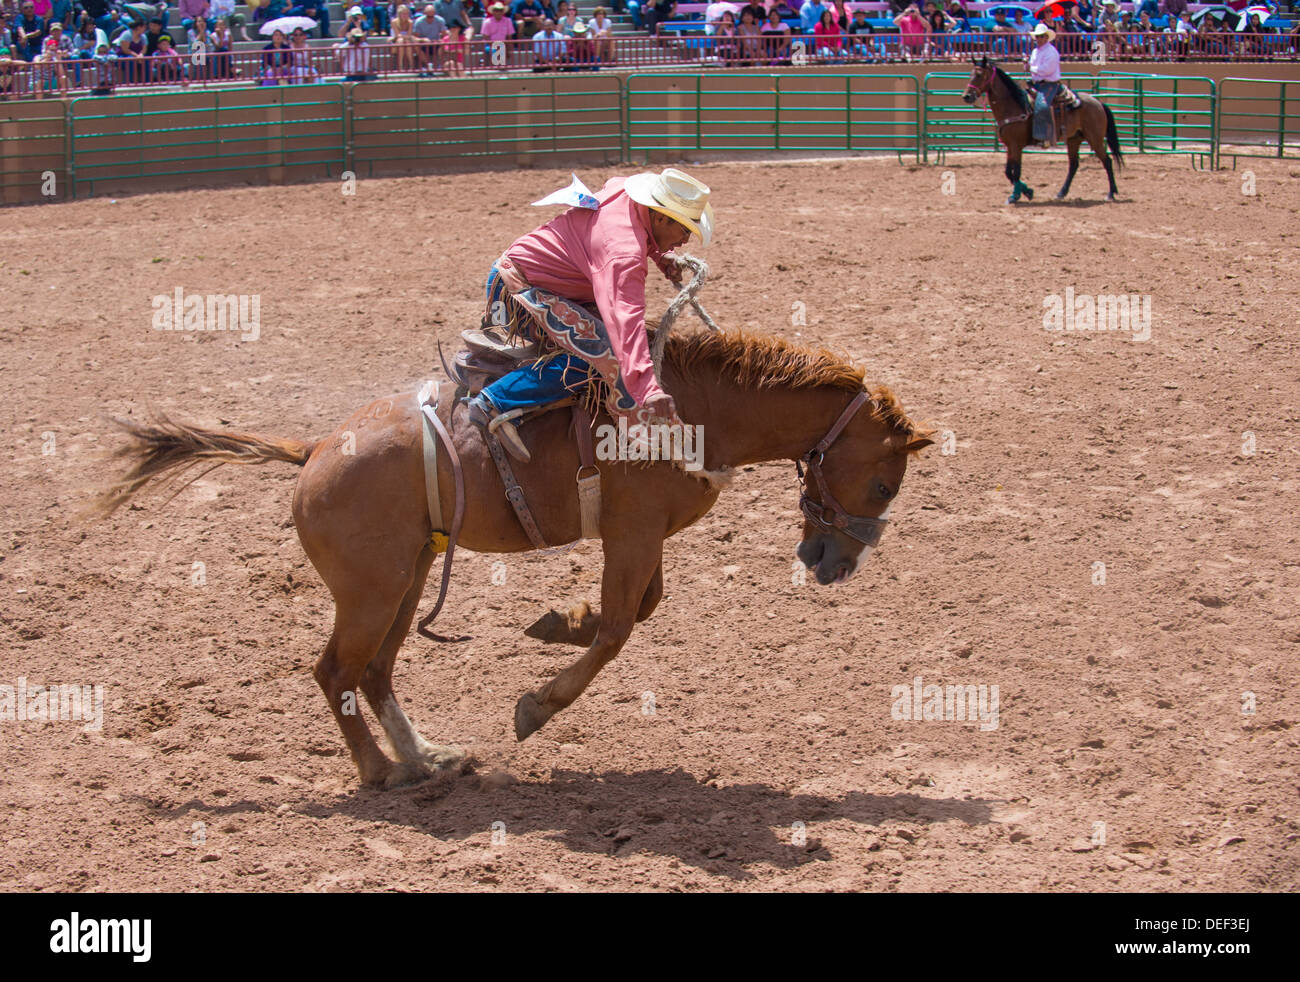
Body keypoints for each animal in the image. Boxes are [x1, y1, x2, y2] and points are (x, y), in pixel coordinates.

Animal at [95, 330, 934, 789]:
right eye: (884, 482)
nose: (834, 565)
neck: (701, 410)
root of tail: (315, 450)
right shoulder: (633, 533)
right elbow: (619, 630)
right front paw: (538, 704)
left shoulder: (642, 535)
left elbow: (636, 609)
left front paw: (557, 620)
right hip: (371, 590)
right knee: (335, 670)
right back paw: (381, 770)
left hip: (406, 578)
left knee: (374, 671)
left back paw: (428, 757)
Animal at [961, 56, 1124, 204]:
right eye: (970, 74)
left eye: (979, 75)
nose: (966, 96)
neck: (1014, 106)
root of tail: (1098, 102)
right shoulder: (1009, 146)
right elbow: (1008, 172)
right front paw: (1027, 191)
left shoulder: (1016, 145)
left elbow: (1016, 172)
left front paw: (1017, 196)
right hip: (1074, 139)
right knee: (1073, 165)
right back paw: (1061, 193)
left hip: (1095, 138)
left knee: (1107, 161)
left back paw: (1111, 193)